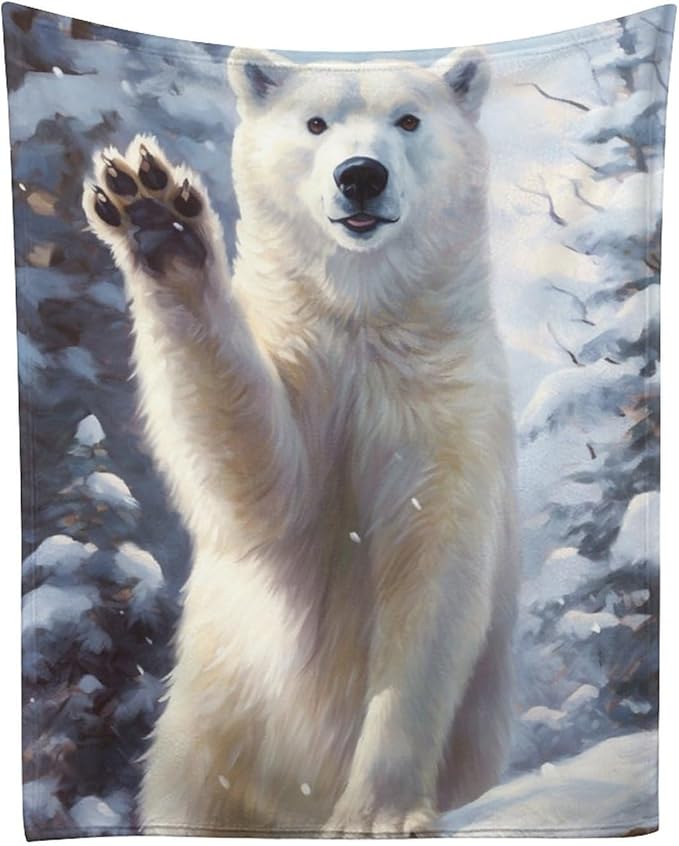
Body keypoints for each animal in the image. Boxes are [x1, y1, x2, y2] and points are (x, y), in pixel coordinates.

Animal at [82, 44, 520, 837]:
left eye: (408, 119)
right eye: (315, 123)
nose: (361, 175)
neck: (361, 319)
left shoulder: (445, 403)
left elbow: (430, 588)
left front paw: (377, 814)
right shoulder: (302, 359)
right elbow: (261, 487)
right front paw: (155, 216)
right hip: (208, 751)